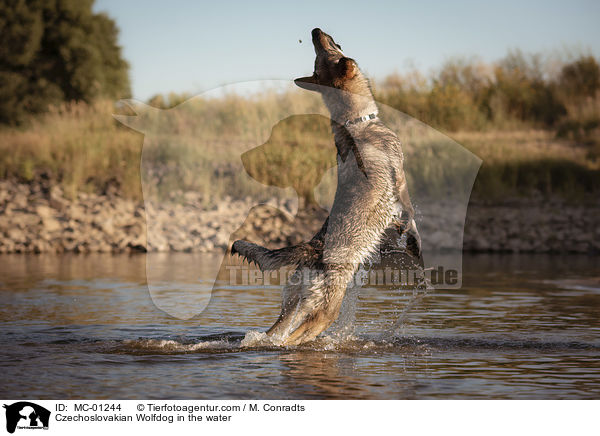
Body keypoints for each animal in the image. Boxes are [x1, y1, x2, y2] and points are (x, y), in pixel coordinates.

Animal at [232, 29, 420, 346]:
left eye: (324, 53)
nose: (315, 31)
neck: (357, 122)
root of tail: (312, 249)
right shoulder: (401, 181)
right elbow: (412, 218)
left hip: (291, 304)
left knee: (274, 333)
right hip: (326, 310)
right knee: (296, 337)